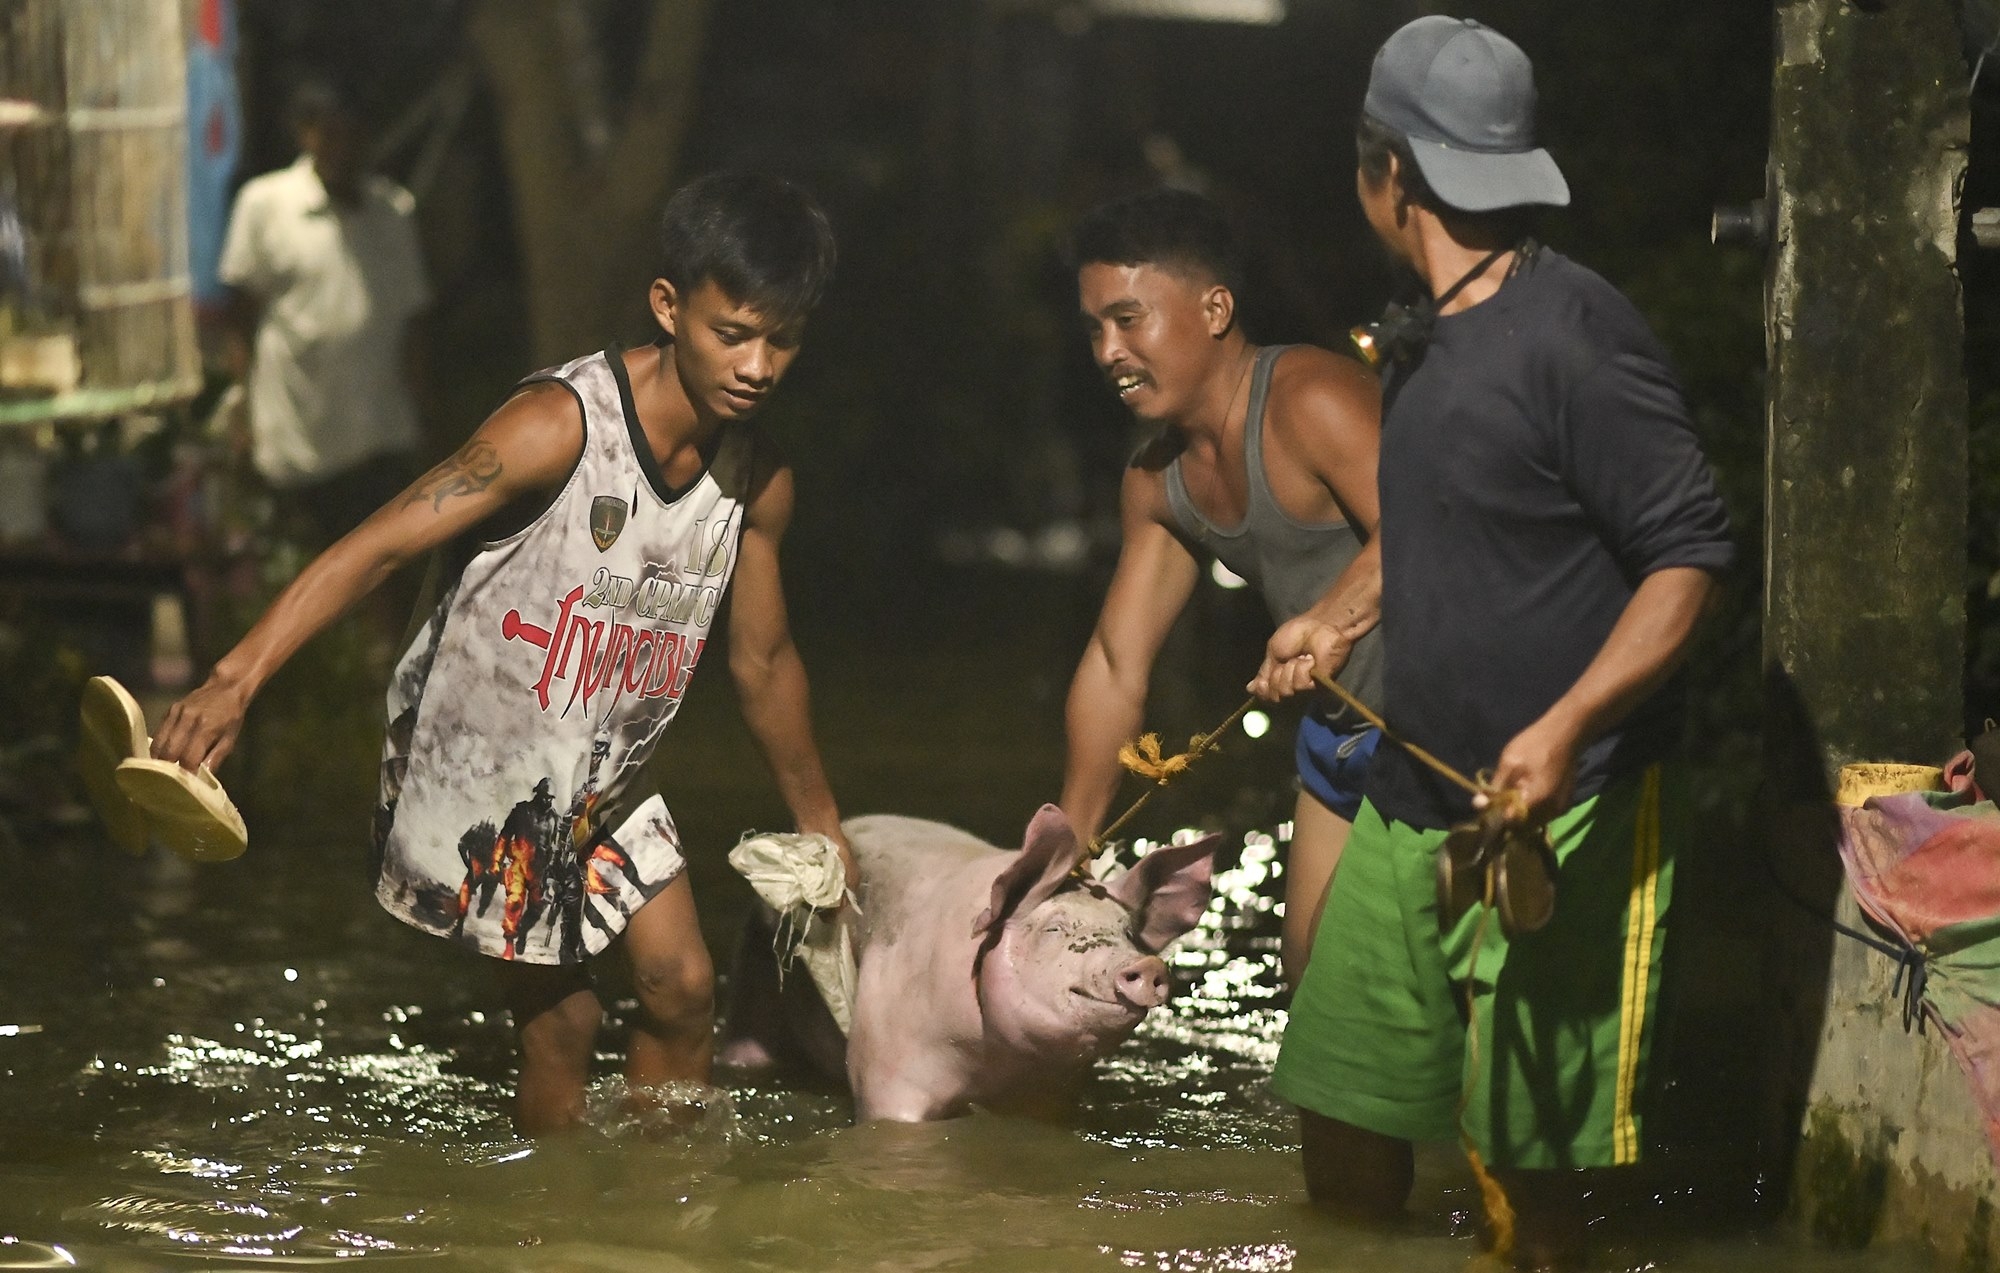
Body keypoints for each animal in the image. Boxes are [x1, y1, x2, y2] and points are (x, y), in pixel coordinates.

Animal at [720, 808, 1216, 1120]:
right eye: (1054, 928)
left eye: (1127, 931)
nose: (1146, 965)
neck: (990, 1063)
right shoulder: (886, 1063)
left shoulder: (1050, 1091)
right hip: (753, 973)